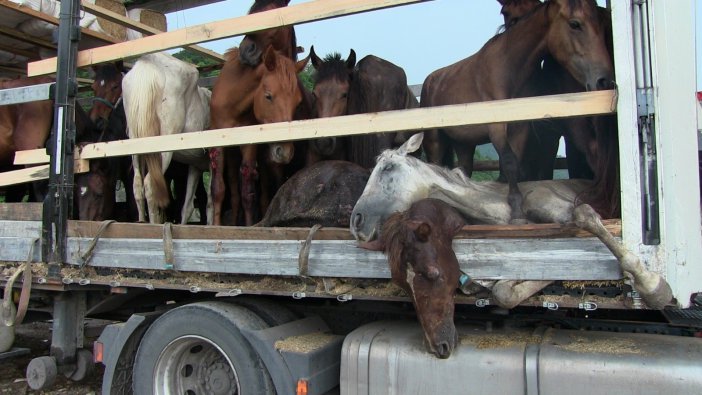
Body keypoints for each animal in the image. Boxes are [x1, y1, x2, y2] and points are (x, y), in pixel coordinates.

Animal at [122, 52, 213, 224]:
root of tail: (147, 63)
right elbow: (212, 202)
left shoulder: (196, 165)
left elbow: (188, 206)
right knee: (150, 185)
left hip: (135, 142)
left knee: (137, 185)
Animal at [210, 0, 306, 227]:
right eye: (268, 96)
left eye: (297, 103)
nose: (285, 151)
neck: (234, 102)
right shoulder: (218, 141)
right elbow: (218, 190)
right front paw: (216, 227)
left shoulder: (249, 144)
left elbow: (248, 193)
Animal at [424, 0, 616, 223]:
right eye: (575, 24)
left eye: (601, 24)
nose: (604, 80)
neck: (508, 69)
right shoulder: (497, 127)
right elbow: (509, 162)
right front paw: (516, 212)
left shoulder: (520, 127)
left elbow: (514, 164)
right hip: (435, 139)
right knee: (435, 164)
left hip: (463, 143)